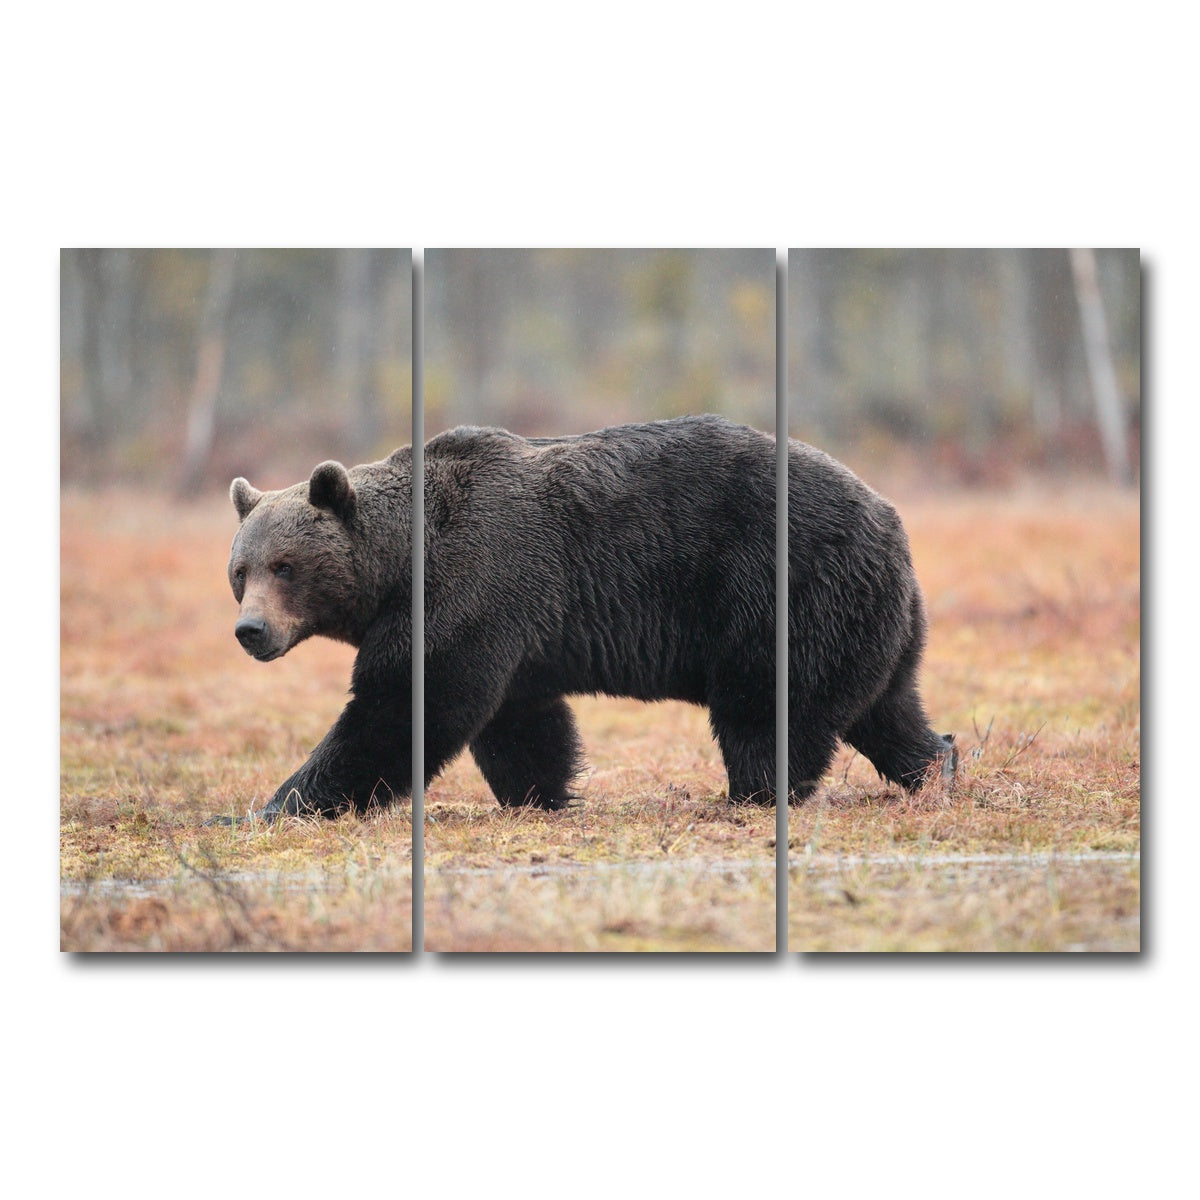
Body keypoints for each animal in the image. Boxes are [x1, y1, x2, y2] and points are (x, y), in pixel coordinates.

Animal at [214, 414, 952, 823]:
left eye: (285, 566)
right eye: (239, 572)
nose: (251, 632)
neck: (399, 563)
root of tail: (890, 516)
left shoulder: (472, 582)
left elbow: (403, 706)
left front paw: (276, 805)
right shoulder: (511, 625)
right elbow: (520, 722)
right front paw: (542, 793)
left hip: (782, 588)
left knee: (768, 706)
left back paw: (754, 792)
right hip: (872, 616)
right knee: (885, 707)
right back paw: (937, 763)